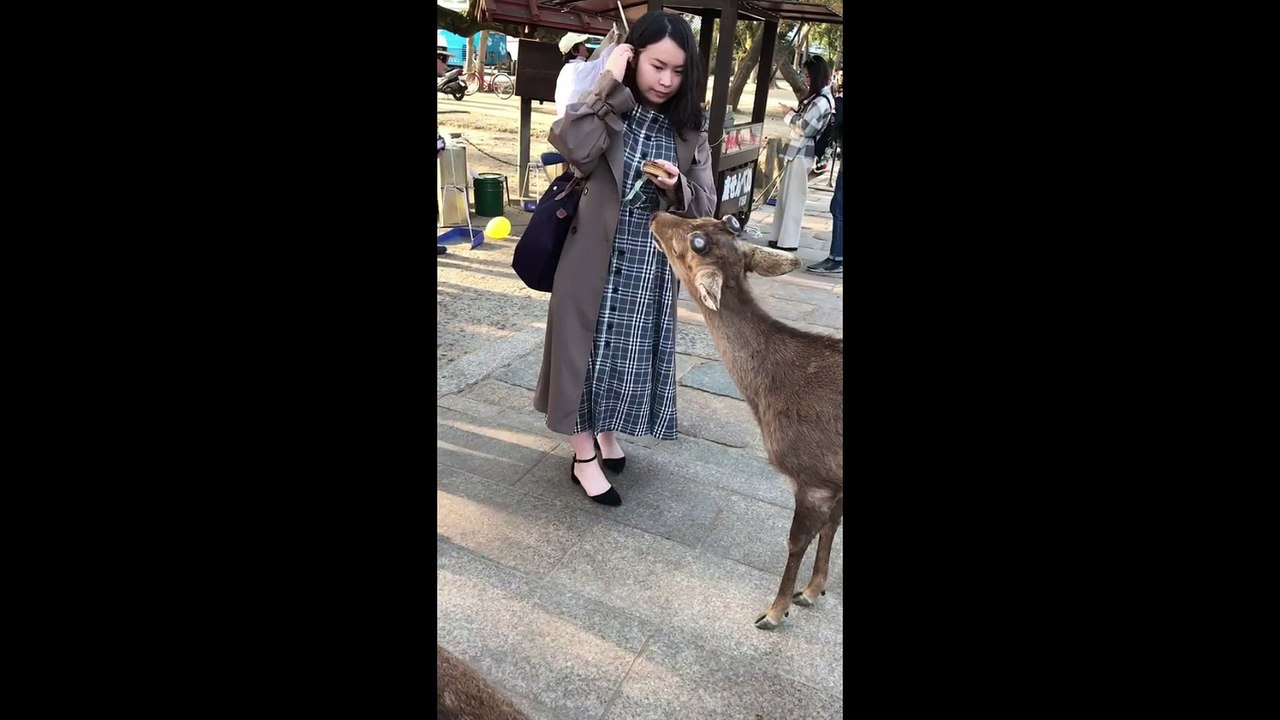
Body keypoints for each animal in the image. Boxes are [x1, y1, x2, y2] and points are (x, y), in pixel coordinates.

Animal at [650, 211, 843, 631]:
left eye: (695, 243)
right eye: (706, 219)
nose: (657, 214)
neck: (767, 396)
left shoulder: (813, 474)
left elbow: (796, 541)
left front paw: (774, 612)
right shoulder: (836, 478)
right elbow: (833, 524)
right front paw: (812, 591)